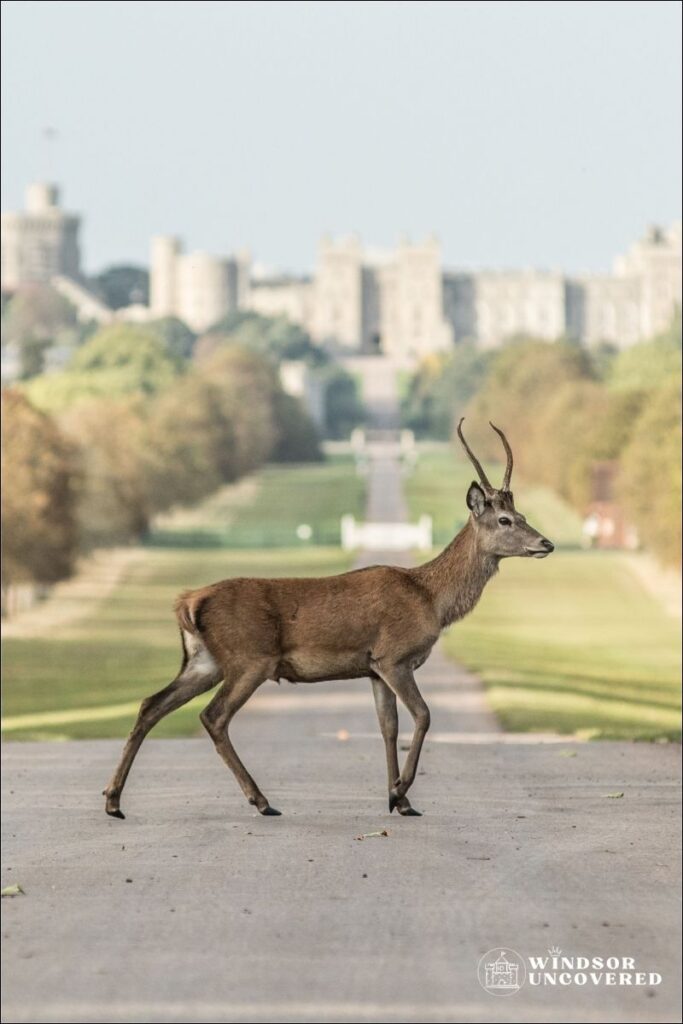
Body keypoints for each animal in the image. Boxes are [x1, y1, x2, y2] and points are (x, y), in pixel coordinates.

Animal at [102, 419, 557, 819]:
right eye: (505, 519)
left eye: (523, 515)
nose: (546, 543)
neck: (431, 600)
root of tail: (188, 602)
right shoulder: (394, 656)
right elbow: (424, 715)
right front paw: (400, 791)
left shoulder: (374, 668)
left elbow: (388, 727)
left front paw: (399, 801)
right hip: (249, 658)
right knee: (213, 716)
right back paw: (262, 801)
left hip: (204, 661)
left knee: (150, 704)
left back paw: (113, 801)